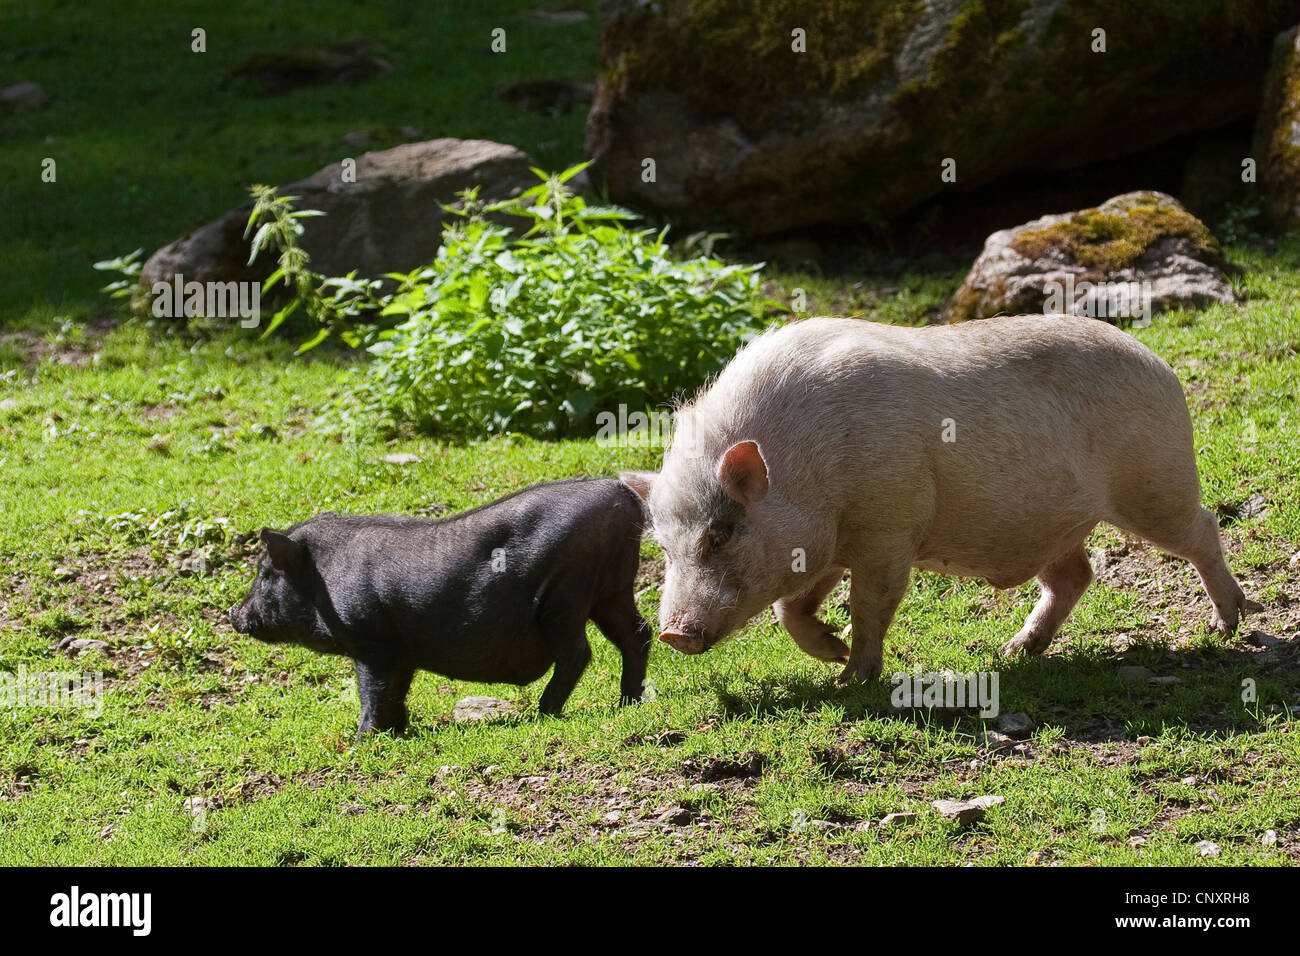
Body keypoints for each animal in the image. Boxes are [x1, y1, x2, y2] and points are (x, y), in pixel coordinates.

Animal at [228, 478, 652, 734]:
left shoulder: (372, 640)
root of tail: (621, 493)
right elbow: (396, 690)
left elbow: (372, 690)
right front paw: (397, 732)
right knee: (638, 634)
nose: (234, 614)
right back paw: (628, 703)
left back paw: (542, 712)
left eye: (265, 572)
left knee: (578, 653)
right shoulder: (400, 650)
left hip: (566, 597)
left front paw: (363, 738)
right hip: (611, 590)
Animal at [622, 315, 1248, 684]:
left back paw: (1228, 625)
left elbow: (869, 605)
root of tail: (1160, 363)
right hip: (1057, 523)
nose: (674, 632)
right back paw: (1013, 652)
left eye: (720, 533)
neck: (804, 472)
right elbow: (789, 609)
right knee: (1076, 575)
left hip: (1155, 484)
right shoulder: (826, 544)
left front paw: (852, 679)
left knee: (1203, 529)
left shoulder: (889, 528)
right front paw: (833, 655)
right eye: (666, 549)